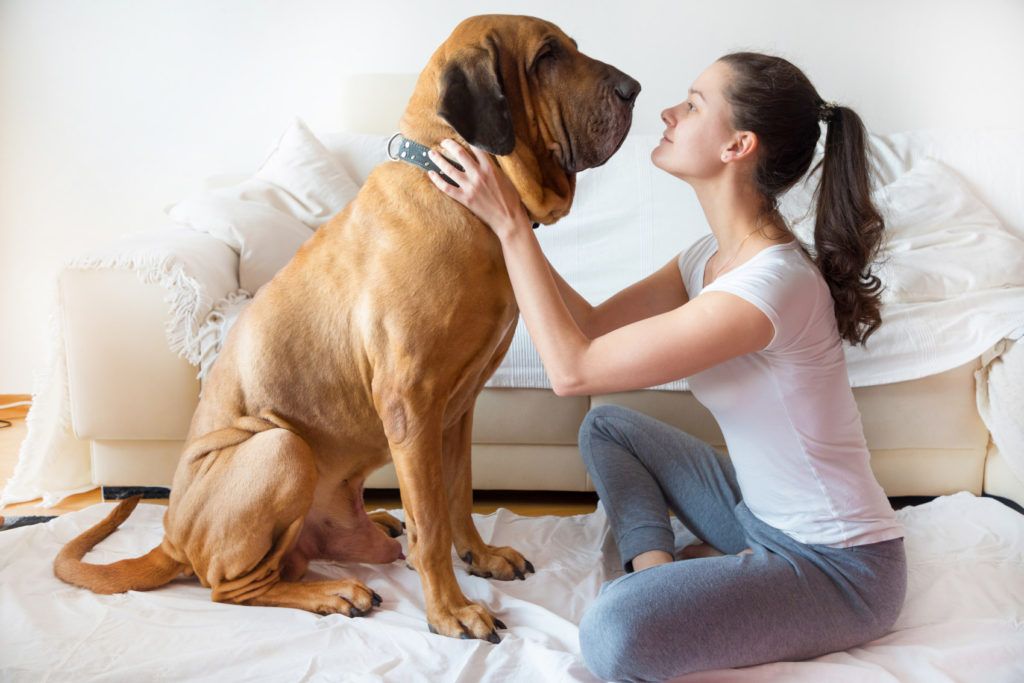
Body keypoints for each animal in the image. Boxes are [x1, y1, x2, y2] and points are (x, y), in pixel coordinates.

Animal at [54, 13, 638, 643]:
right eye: (548, 56)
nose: (635, 89)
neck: (455, 192)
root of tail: (170, 539)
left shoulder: (457, 410)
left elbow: (458, 495)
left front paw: (479, 556)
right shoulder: (412, 403)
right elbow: (431, 522)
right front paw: (450, 611)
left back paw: (377, 527)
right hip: (281, 448)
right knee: (231, 588)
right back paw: (333, 592)